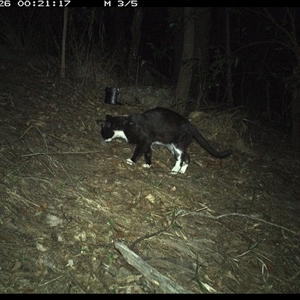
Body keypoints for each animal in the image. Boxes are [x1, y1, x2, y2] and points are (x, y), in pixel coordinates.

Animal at [96, 107, 232, 173]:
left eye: (103, 133)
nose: (103, 140)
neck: (125, 125)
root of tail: (191, 125)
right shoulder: (148, 143)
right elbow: (148, 153)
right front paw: (148, 164)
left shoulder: (144, 141)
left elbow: (138, 152)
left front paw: (131, 161)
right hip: (172, 146)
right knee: (187, 157)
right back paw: (181, 172)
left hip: (178, 144)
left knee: (181, 157)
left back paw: (175, 169)